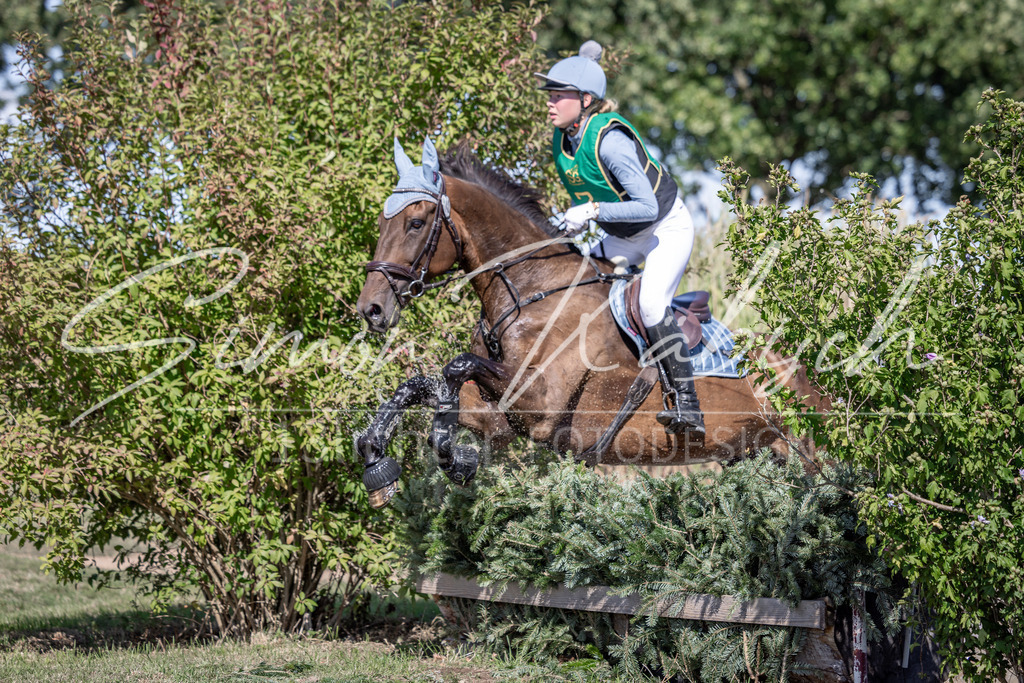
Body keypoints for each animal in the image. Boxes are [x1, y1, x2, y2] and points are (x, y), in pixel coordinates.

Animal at [355, 138, 820, 508]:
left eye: (416, 223)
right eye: (380, 222)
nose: (371, 309)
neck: (532, 287)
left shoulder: (540, 402)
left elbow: (455, 367)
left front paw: (454, 459)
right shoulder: (504, 417)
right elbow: (421, 385)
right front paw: (377, 456)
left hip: (812, 451)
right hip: (759, 452)